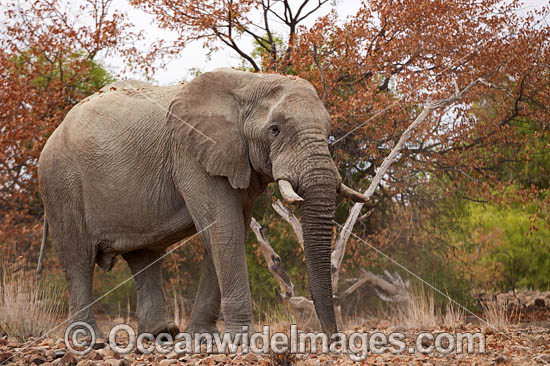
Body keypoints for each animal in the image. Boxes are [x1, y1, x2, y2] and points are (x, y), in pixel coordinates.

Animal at [36, 68, 368, 338]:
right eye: (275, 129)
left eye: (328, 131)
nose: (333, 339)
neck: (249, 83)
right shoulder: (191, 155)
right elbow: (224, 228)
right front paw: (241, 341)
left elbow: (230, 231)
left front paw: (202, 338)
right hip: (60, 180)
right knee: (78, 259)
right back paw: (89, 341)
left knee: (145, 258)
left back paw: (160, 335)